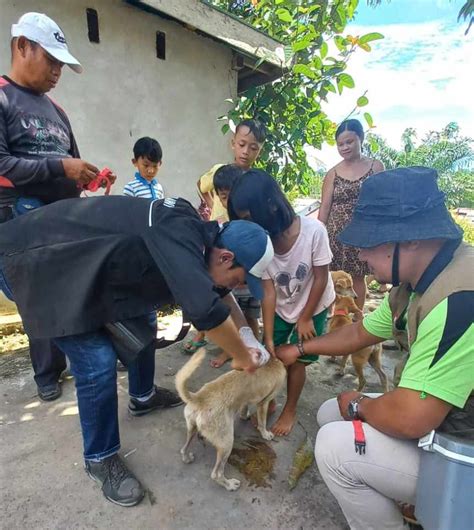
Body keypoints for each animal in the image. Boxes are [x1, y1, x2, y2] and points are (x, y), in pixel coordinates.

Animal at [175, 348, 284, 488]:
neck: (272, 360)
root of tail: (199, 398)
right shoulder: (264, 402)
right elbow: (262, 422)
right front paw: (265, 433)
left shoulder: (245, 399)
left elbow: (244, 407)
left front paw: (244, 416)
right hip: (226, 443)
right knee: (216, 474)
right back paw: (229, 485)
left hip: (192, 429)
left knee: (183, 449)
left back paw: (187, 458)